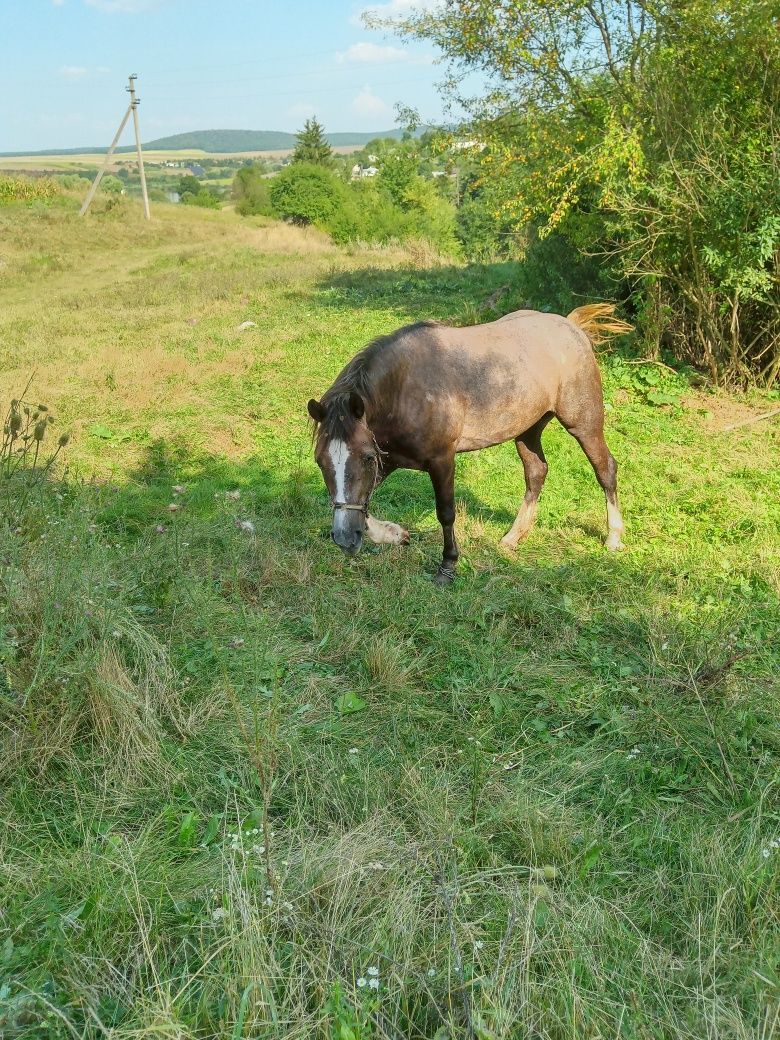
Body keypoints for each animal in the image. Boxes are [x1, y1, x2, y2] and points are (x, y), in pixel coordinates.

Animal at [307, 303, 632, 586]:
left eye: (364, 458)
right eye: (321, 460)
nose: (345, 539)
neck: (406, 390)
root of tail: (571, 326)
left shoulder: (441, 461)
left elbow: (445, 513)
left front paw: (448, 567)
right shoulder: (387, 459)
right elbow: (364, 506)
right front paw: (396, 534)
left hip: (584, 425)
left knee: (606, 470)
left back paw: (613, 538)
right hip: (527, 430)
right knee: (536, 473)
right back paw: (513, 538)